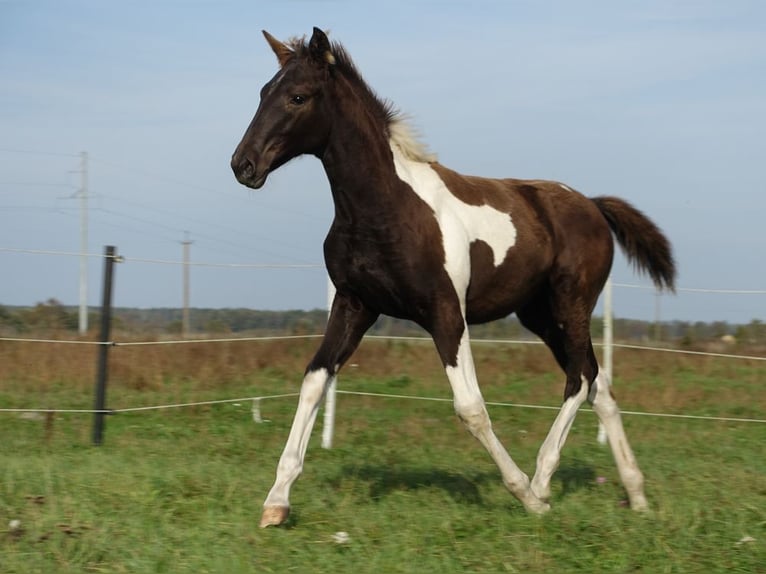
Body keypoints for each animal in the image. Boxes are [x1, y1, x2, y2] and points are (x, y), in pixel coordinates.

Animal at [231, 28, 676, 532]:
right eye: (263, 92)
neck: (386, 209)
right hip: (540, 316)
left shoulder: (446, 313)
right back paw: (636, 494)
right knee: (598, 383)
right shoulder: (354, 305)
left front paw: (525, 494)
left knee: (580, 379)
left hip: (571, 304)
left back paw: (543, 482)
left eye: (298, 97)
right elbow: (313, 381)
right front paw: (276, 501)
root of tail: (594, 206)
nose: (243, 165)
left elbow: (470, 408)